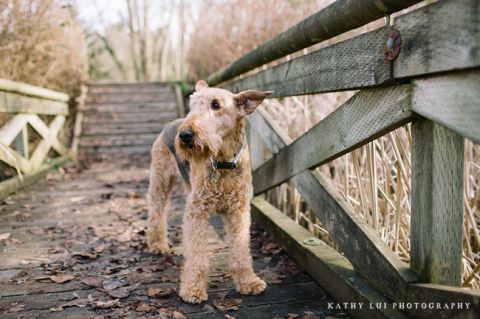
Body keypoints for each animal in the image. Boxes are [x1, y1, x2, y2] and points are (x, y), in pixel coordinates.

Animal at [146, 80, 272, 304]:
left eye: (216, 105)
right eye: (192, 105)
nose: (185, 135)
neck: (223, 162)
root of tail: (172, 124)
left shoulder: (238, 211)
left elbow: (241, 249)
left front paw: (248, 282)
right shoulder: (197, 212)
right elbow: (196, 254)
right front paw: (192, 289)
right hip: (160, 181)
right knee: (156, 213)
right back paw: (157, 244)